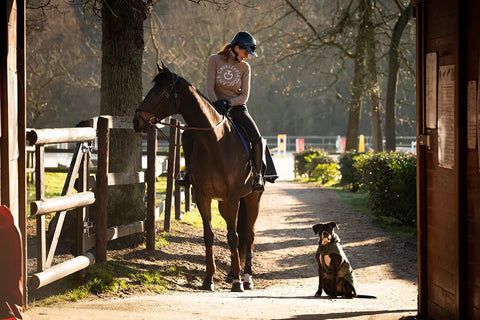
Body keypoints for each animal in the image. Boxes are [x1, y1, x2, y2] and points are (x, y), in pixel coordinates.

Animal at [133, 63, 262, 292]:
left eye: (158, 92)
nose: (136, 120)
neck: (215, 142)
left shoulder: (232, 199)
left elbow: (233, 236)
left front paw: (237, 282)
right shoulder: (203, 197)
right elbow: (209, 235)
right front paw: (209, 279)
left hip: (251, 199)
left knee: (248, 235)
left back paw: (246, 278)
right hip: (225, 203)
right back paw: (232, 274)